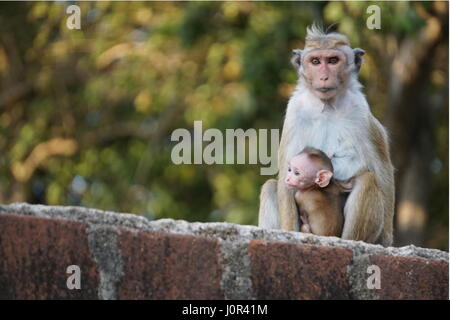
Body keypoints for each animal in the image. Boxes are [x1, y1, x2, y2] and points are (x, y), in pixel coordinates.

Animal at [258, 25, 396, 246]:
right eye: (315, 61)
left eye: (332, 60)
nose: (323, 76)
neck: (327, 106)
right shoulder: (295, 111)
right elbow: (284, 176)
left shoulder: (360, 112)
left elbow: (382, 170)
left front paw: (386, 240)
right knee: (271, 186)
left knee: (367, 180)